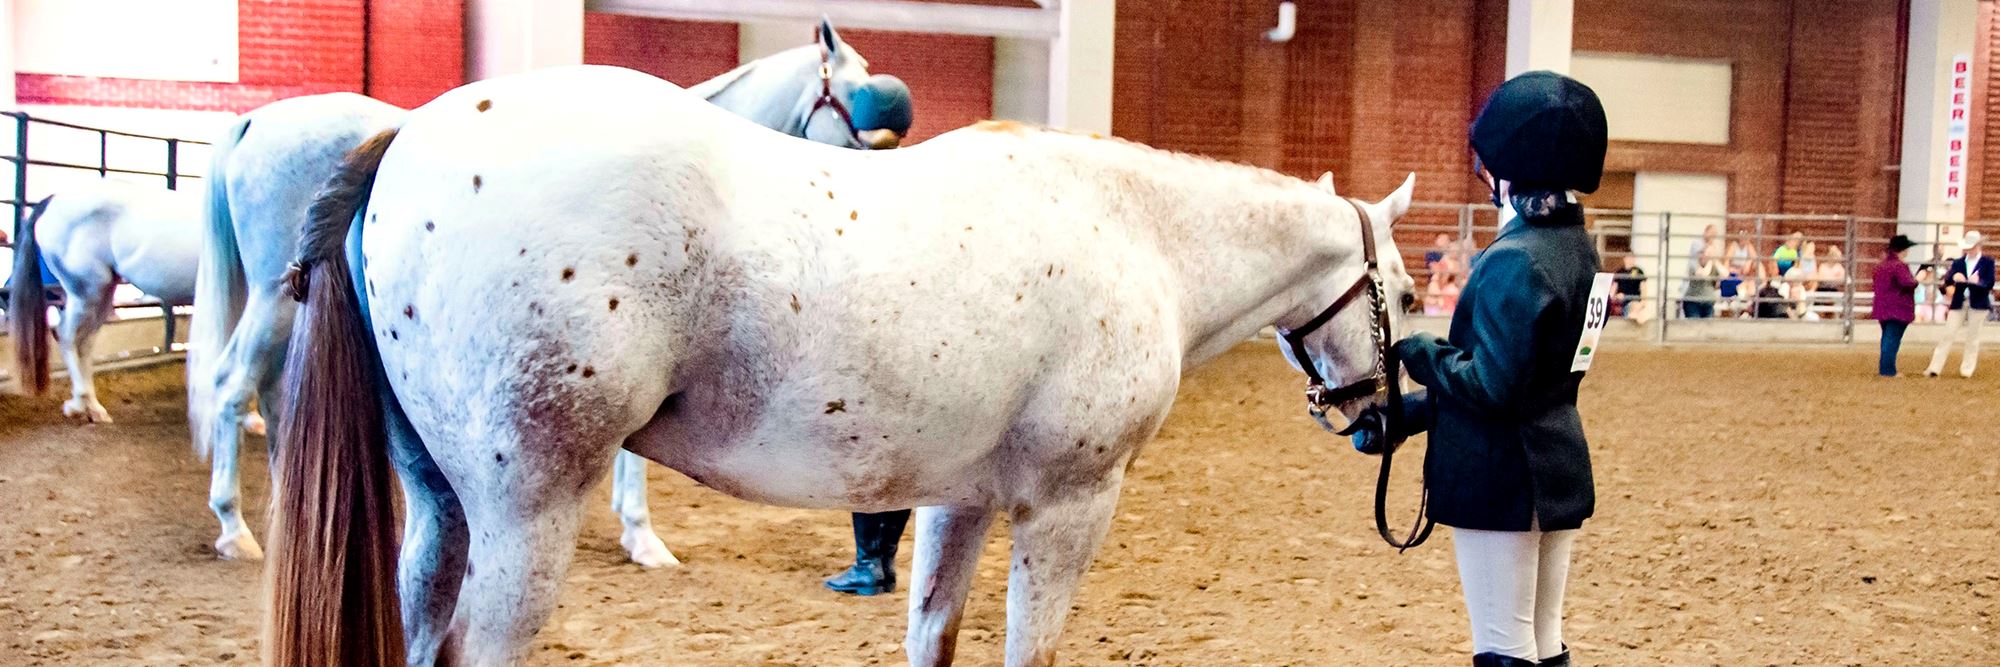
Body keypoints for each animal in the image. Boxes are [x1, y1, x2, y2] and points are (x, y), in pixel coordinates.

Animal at [6, 176, 266, 429]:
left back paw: (92, 409)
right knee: (67, 336)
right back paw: (82, 405)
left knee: (84, 342)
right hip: (86, 293)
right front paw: (251, 417)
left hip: (102, 295)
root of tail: (52, 201)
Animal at [188, 19, 908, 563]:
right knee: (232, 387)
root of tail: (255, 122)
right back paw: (234, 528)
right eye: (851, 92)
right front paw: (644, 537)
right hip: (275, 299)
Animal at [266, 63, 1416, 667]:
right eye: (1406, 298)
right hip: (529, 508)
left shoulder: (960, 499)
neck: (1135, 233)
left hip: (440, 505)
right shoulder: (1070, 503)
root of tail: (407, 137)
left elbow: (933, 634)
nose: (1379, 417)